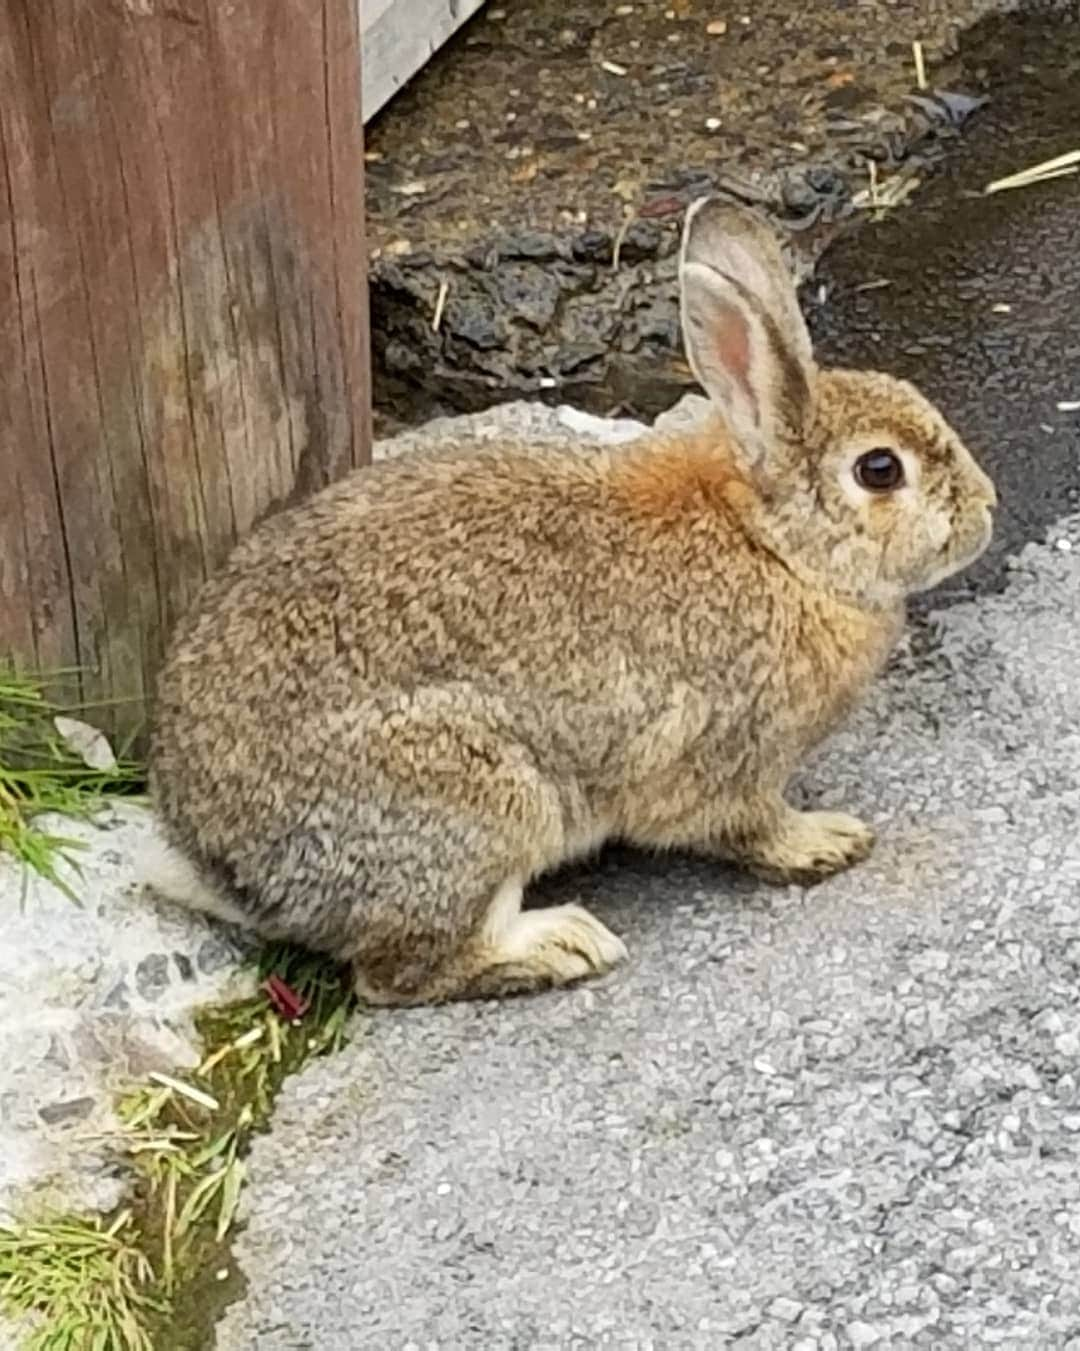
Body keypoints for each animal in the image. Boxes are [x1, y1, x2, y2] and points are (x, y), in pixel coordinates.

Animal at [143, 197, 994, 1005]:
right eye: (880, 470)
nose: (987, 509)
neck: (772, 543)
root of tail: (220, 858)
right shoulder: (726, 754)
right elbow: (747, 824)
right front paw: (825, 840)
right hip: (479, 805)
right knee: (398, 973)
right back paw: (559, 945)